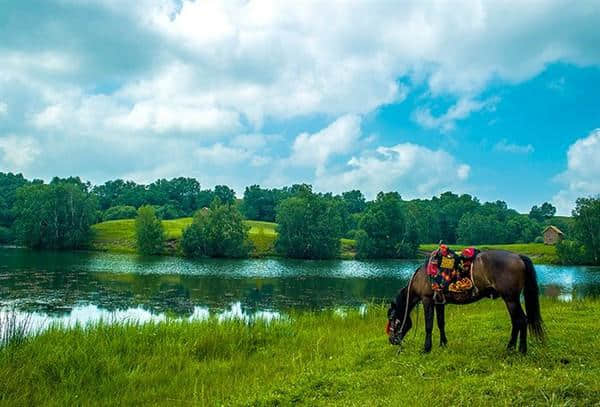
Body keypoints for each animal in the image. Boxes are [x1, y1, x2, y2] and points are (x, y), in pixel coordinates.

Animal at [386, 250, 548, 356]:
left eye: (392, 318)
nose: (392, 340)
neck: (423, 276)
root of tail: (518, 256)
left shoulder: (427, 301)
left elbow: (429, 326)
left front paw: (426, 348)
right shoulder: (439, 303)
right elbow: (441, 323)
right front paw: (443, 344)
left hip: (511, 299)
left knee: (521, 320)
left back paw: (521, 350)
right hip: (511, 300)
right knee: (517, 322)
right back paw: (510, 348)